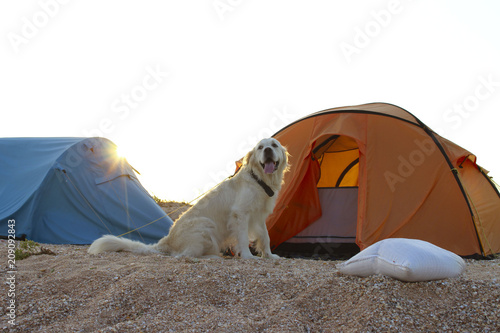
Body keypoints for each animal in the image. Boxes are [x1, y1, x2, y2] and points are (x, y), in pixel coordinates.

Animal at [88, 136, 288, 258]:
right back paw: (213, 257)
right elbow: (244, 239)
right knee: (184, 255)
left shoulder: (259, 216)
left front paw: (270, 256)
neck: (260, 180)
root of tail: (166, 240)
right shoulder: (240, 214)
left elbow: (266, 237)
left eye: (274, 145)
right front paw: (248, 257)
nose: (267, 150)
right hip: (205, 226)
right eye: (260, 147)